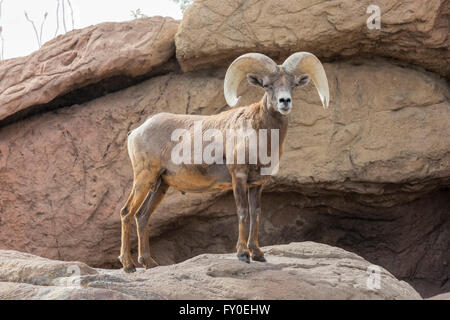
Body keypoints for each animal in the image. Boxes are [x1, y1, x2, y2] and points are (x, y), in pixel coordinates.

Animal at [118, 52, 330, 272]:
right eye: (267, 85)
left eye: (293, 85)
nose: (284, 101)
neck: (260, 133)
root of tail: (136, 132)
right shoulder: (239, 177)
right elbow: (243, 212)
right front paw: (243, 254)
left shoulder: (257, 184)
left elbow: (255, 214)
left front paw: (258, 254)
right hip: (144, 177)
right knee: (127, 213)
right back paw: (128, 265)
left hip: (160, 185)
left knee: (142, 216)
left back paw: (149, 263)